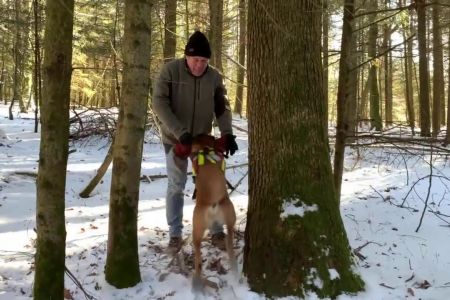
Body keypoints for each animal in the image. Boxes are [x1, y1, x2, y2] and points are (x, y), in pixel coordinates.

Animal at [190, 135, 239, 292]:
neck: (204, 150)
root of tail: (212, 206)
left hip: (197, 230)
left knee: (198, 258)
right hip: (230, 215)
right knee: (229, 243)